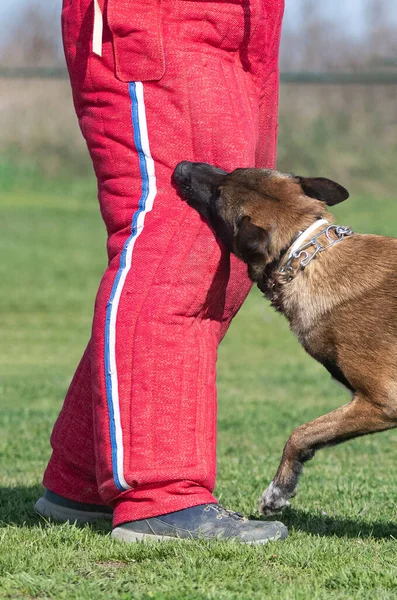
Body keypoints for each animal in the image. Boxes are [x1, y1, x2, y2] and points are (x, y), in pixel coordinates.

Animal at [172, 161, 396, 516]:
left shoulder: (381, 402)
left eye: (218, 197)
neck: (305, 254)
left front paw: (278, 490)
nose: (182, 167)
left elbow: (300, 434)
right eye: (233, 170)